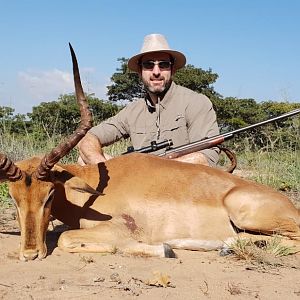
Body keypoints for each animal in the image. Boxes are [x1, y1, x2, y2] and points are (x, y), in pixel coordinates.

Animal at [0, 45, 300, 260]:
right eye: (13, 198)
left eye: (50, 195)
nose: (29, 253)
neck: (90, 196)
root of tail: (290, 205)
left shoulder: (119, 228)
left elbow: (66, 239)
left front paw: (163, 249)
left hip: (244, 213)